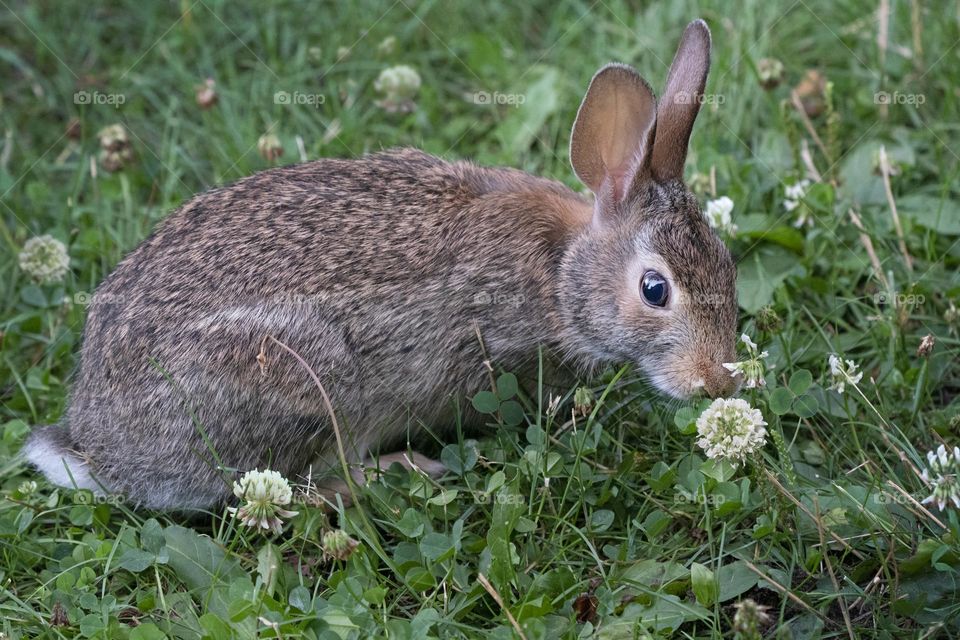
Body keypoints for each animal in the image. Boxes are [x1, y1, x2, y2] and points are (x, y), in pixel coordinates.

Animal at [23, 19, 738, 510]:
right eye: (655, 289)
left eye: (728, 264)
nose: (716, 381)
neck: (561, 272)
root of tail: (103, 453)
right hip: (303, 384)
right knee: (294, 483)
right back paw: (403, 470)